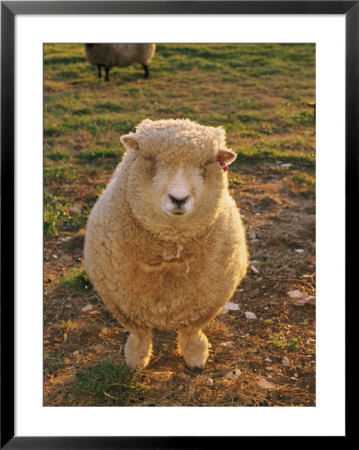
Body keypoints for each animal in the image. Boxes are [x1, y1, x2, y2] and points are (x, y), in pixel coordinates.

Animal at [84, 119, 249, 370]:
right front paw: (136, 361)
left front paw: (196, 359)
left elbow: (191, 333)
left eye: (204, 165)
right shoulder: (121, 302)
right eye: (150, 159)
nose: (178, 199)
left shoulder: (208, 301)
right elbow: (140, 335)